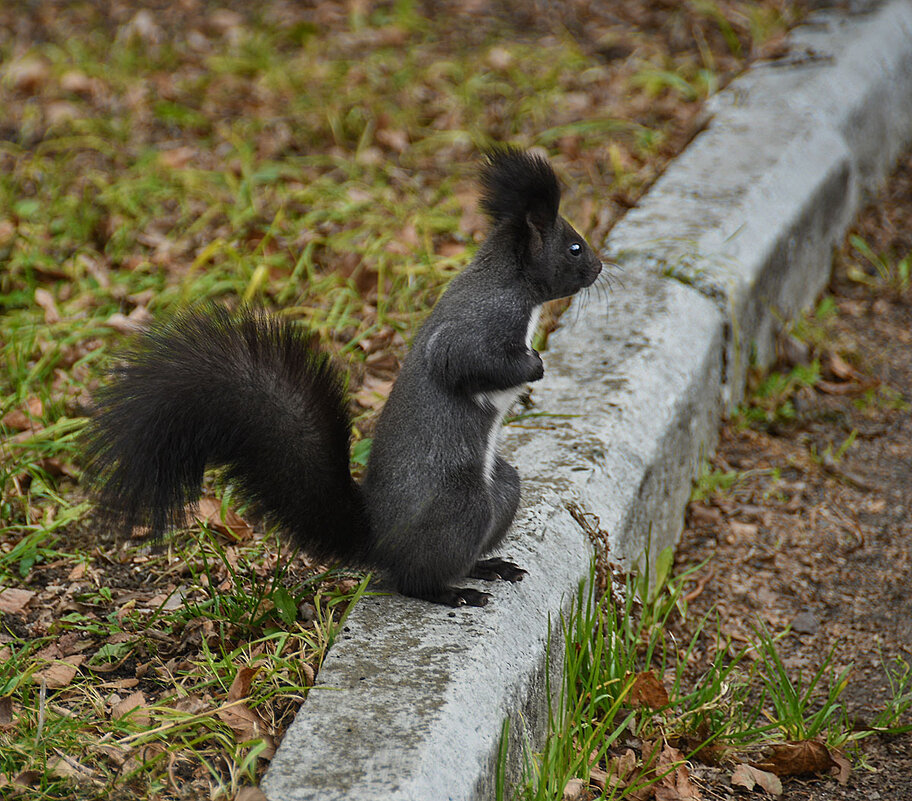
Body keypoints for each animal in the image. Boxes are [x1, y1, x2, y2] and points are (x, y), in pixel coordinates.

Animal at [82, 147, 604, 608]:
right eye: (574, 247)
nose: (600, 267)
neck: (512, 284)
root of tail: (381, 542)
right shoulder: (479, 325)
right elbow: (461, 361)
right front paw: (533, 366)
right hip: (462, 506)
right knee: (414, 580)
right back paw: (453, 594)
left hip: (503, 486)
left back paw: (489, 566)